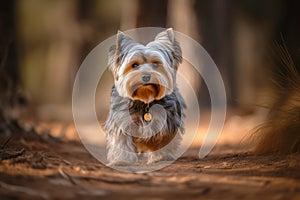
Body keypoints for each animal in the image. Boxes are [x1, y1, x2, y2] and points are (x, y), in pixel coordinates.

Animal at [104, 28, 186, 166]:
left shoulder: (168, 119)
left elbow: (163, 138)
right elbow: (122, 140)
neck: (145, 100)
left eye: (156, 64)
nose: (146, 76)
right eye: (134, 65)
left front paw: (160, 157)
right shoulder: (122, 121)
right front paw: (122, 160)